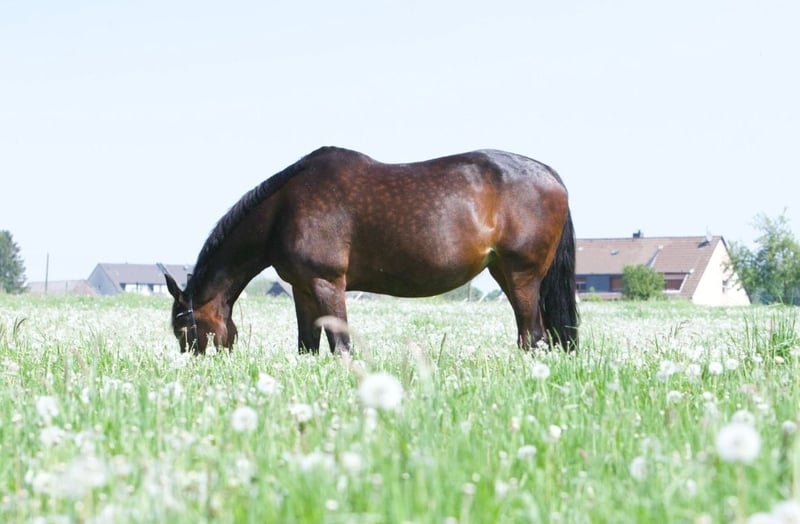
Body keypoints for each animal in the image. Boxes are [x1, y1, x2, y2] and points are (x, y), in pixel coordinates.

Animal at [164, 146, 578, 354]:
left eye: (185, 328)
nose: (196, 366)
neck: (284, 208)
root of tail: (550, 174)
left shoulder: (327, 283)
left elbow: (341, 346)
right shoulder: (302, 289)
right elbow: (307, 346)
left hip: (522, 275)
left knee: (533, 337)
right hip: (505, 274)